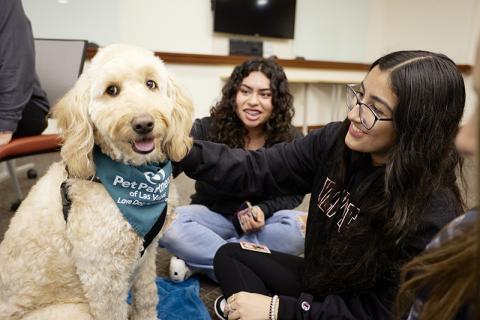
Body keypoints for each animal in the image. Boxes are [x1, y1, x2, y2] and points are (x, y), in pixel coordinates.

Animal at [1, 43, 195, 318]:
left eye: (151, 84)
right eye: (111, 90)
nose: (144, 123)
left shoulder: (146, 257)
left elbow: (147, 297)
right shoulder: (103, 275)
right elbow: (112, 310)